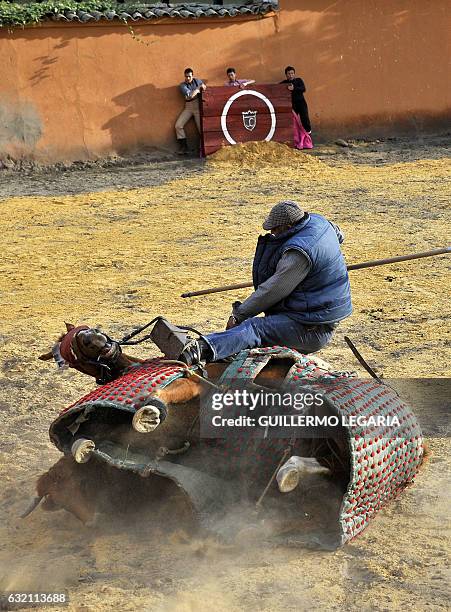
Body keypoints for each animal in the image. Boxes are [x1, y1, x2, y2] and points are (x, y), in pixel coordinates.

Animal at [27, 322, 424, 548]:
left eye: (76, 337)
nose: (96, 340)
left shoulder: (190, 386)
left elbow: (159, 404)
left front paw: (146, 414)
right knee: (325, 468)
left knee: (324, 464)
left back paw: (290, 471)